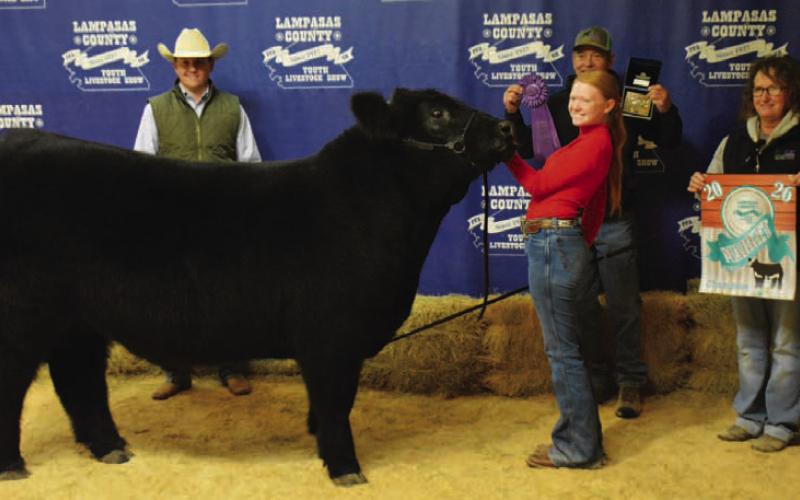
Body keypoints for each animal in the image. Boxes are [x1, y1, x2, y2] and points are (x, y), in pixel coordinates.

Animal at [0, 88, 515, 486]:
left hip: (77, 319)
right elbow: (336, 402)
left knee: (77, 378)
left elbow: (328, 402)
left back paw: (110, 447)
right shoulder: (332, 337)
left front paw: (319, 441)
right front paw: (345, 468)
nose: (508, 129)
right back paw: (13, 465)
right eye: (437, 113)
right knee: (19, 382)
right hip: (23, 315)